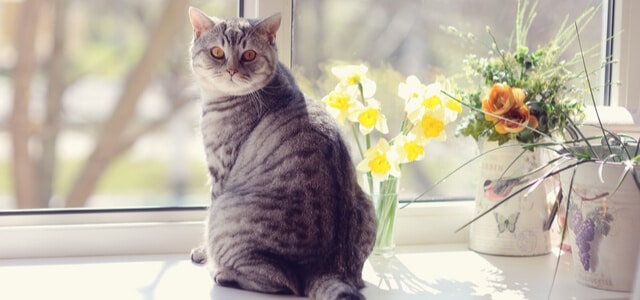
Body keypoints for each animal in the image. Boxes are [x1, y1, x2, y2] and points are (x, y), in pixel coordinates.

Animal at [186, 6, 376, 300]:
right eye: (217, 52)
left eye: (249, 55)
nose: (231, 70)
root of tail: (324, 267)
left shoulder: (219, 171)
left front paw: (201, 253)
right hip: (368, 207)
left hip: (224, 216)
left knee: (281, 282)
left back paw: (224, 274)